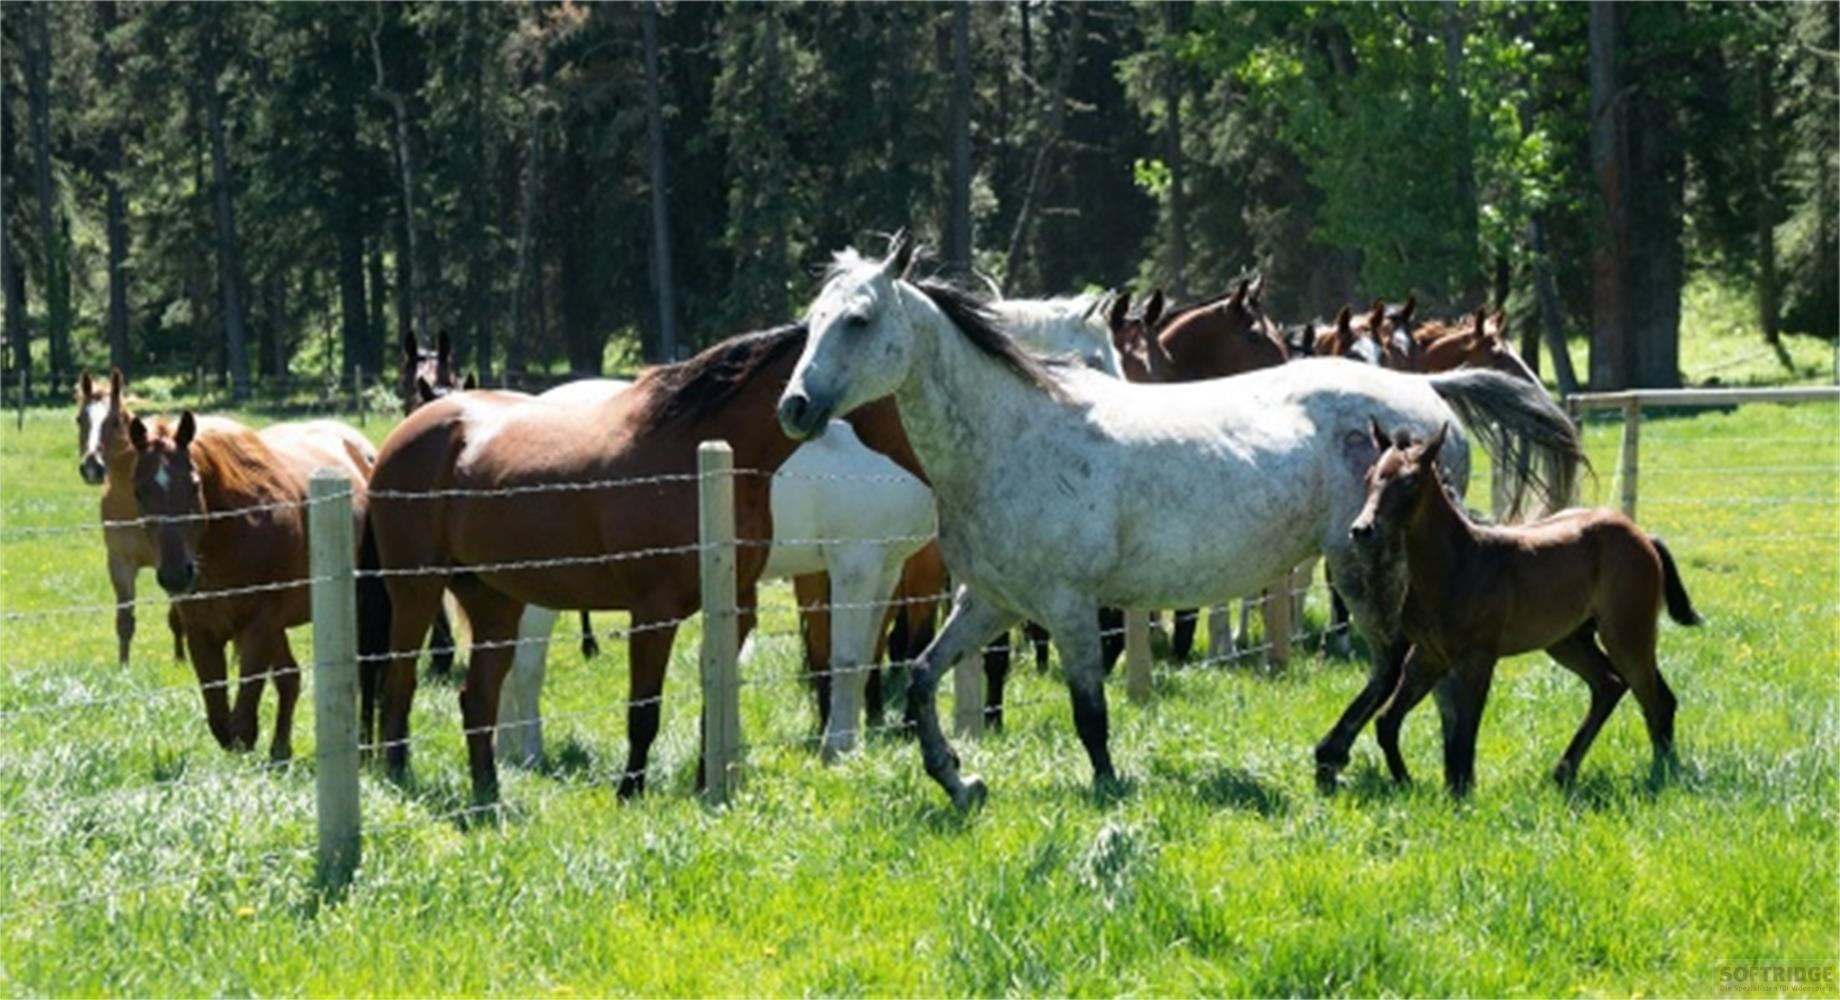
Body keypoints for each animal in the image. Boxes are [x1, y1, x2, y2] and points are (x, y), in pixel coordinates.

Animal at [75, 369, 193, 665]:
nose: (91, 467)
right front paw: (123, 667)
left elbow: (177, 615)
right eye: (80, 419)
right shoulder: (120, 563)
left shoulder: (172, 563)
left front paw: (180, 660)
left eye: (115, 421)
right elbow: (125, 621)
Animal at [128, 411, 374, 760]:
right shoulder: (202, 633)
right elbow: (221, 721)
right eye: (139, 491)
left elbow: (242, 722)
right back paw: (280, 750)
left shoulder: (258, 625)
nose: (176, 575)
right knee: (289, 679)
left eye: (194, 485)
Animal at [358, 324, 929, 803]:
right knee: (401, 685)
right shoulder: (654, 612)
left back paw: (489, 794)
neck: (697, 456)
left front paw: (706, 783)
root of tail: (407, 434)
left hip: (494, 600)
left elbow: (716, 692)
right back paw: (401, 778)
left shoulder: (736, 606)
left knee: (477, 698)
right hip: (418, 592)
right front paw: (630, 789)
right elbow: (644, 710)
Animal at [776, 236, 1583, 808]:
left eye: (858, 320)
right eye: (812, 323)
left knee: (1392, 663)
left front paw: (1106, 788)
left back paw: (1335, 758)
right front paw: (958, 779)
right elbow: (919, 678)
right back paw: (1433, 770)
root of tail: (1429, 395)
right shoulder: (992, 602)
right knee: (1421, 672)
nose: (794, 408)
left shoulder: (1069, 607)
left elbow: (1090, 711)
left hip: (1364, 565)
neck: (1017, 434)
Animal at [1351, 422, 1696, 793]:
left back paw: (1659, 777)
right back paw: (1564, 772)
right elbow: (1388, 722)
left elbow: (1465, 731)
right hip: (1569, 640)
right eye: (1370, 476)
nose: (1362, 529)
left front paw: (1460, 792)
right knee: (1612, 685)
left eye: (1410, 481)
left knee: (1654, 701)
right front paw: (1408, 783)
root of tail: (1643, 537)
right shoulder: (1428, 655)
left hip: (1627, 633)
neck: (1457, 563)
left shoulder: (1478, 657)